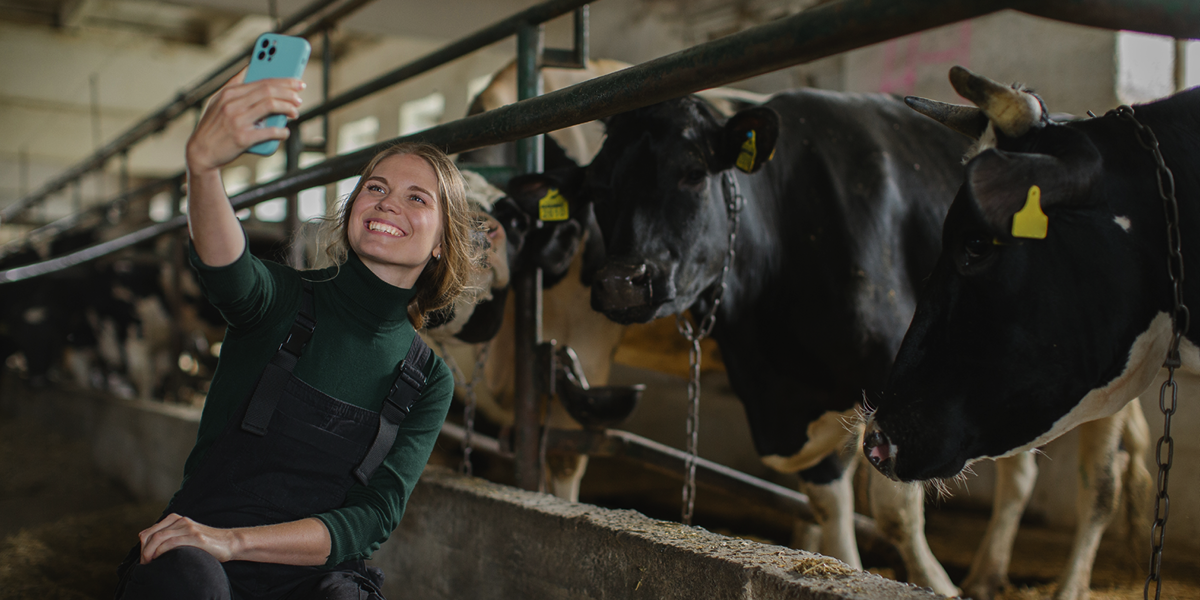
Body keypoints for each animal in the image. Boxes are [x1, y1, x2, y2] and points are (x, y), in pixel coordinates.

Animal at [583, 87, 974, 590]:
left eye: (693, 174)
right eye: (597, 188)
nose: (619, 282)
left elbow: (896, 513)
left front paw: (938, 586)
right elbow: (830, 507)